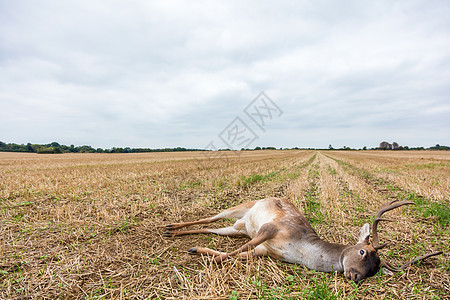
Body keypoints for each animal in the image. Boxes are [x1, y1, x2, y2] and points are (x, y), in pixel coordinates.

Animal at [163, 198, 442, 282]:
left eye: (375, 270)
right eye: (364, 252)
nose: (355, 277)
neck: (299, 249)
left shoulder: (266, 251)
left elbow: (234, 255)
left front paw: (199, 252)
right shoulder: (271, 227)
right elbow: (236, 252)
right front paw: (203, 258)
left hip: (237, 227)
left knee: (213, 229)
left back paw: (178, 236)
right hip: (242, 208)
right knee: (208, 218)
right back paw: (170, 226)